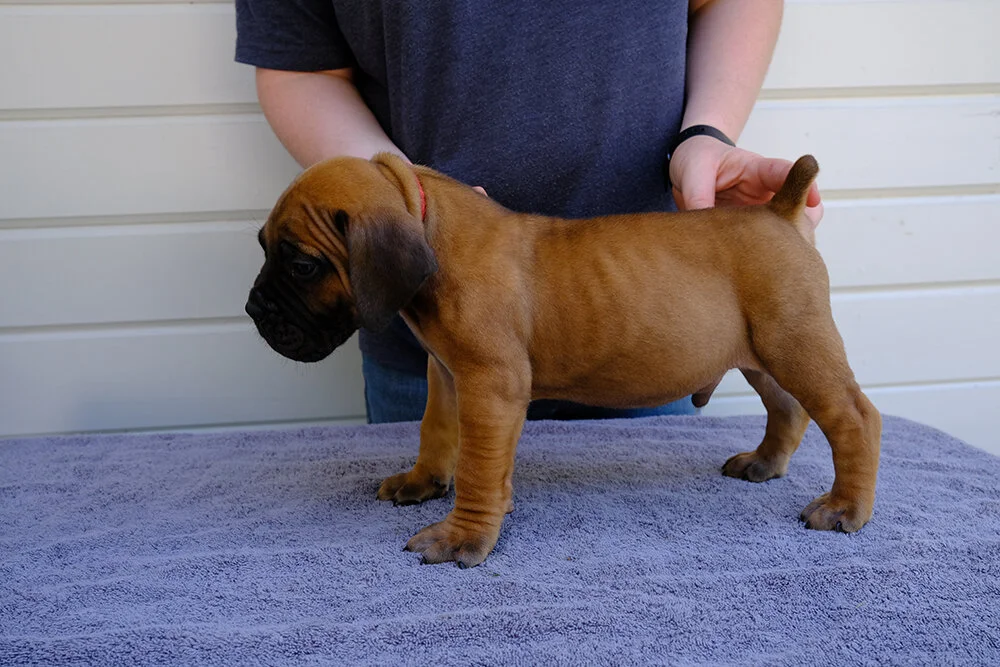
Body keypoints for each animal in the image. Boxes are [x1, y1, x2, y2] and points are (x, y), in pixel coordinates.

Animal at [246, 152, 882, 568]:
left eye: (302, 265)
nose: (252, 310)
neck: (428, 224)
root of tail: (779, 209)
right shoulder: (447, 374)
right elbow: (436, 431)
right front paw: (424, 481)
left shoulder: (490, 386)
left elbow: (479, 466)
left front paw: (462, 537)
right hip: (765, 353)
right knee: (790, 409)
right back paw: (764, 463)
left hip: (795, 343)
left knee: (854, 417)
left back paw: (845, 507)